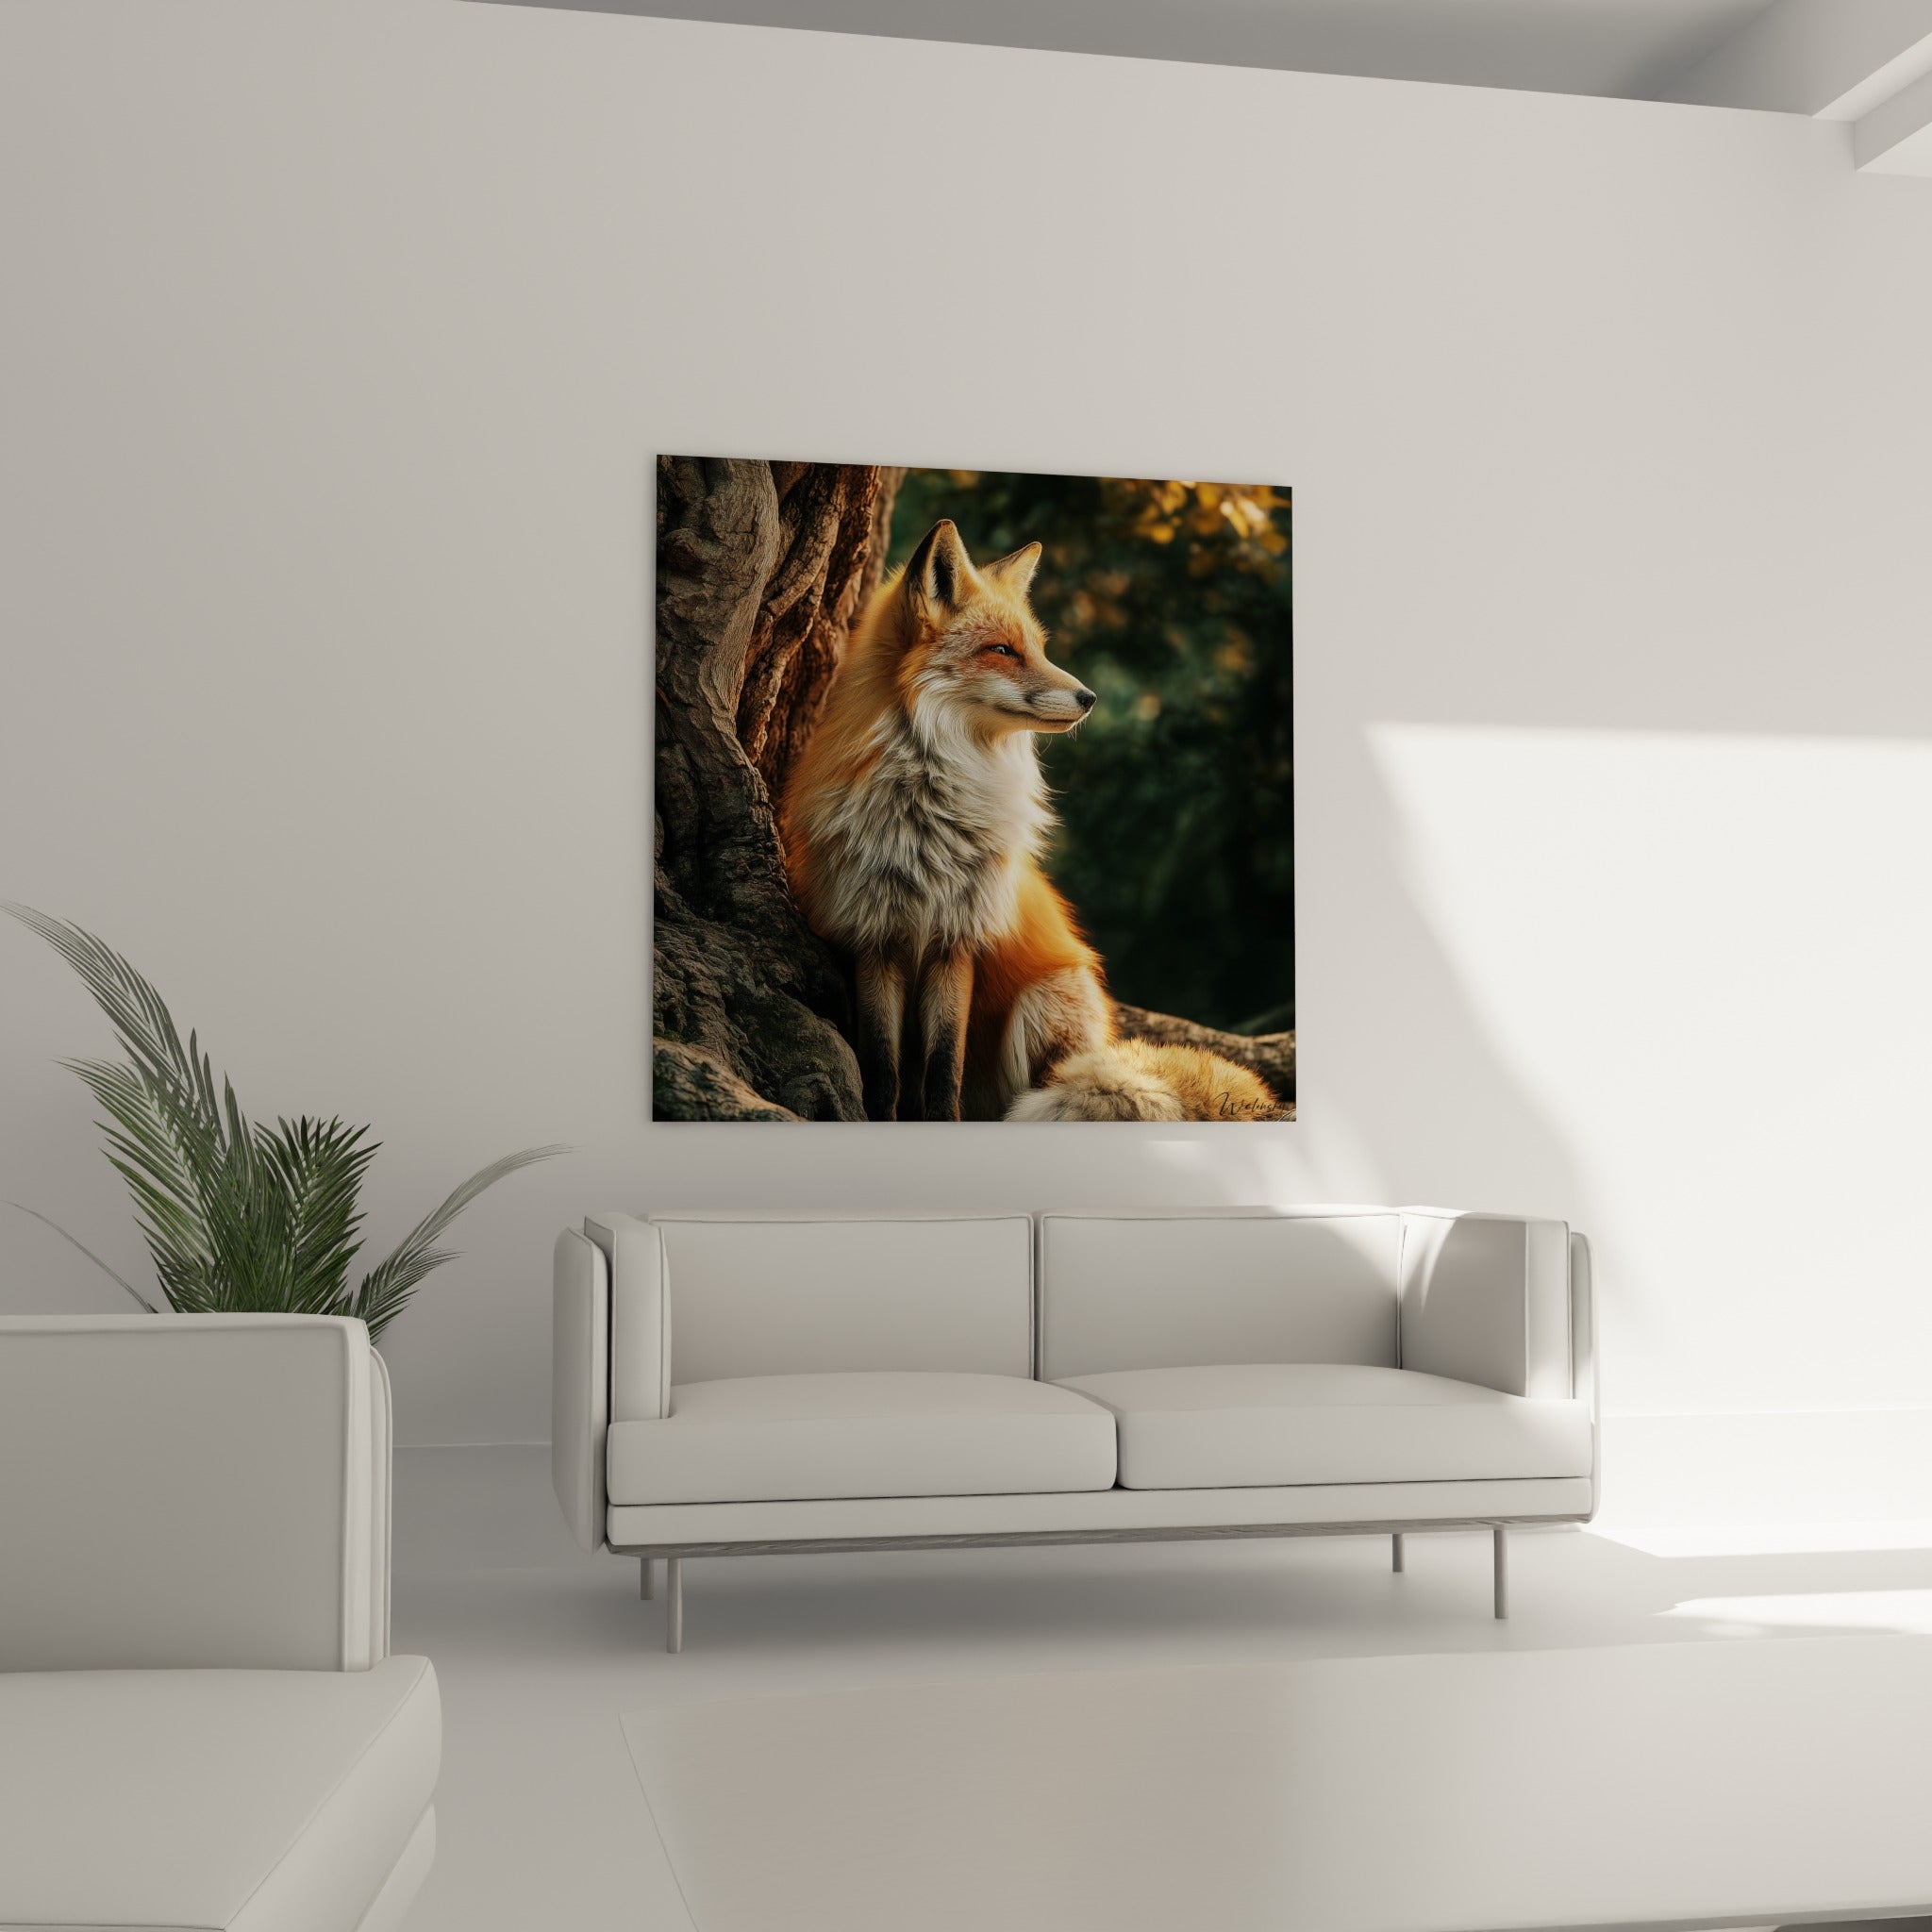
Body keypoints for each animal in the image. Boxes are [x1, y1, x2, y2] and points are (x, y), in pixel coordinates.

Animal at [781, 518, 1277, 1123]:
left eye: (1038, 649)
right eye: (1001, 650)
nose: (1090, 697)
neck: (927, 810)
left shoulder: (958, 936)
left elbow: (942, 1066)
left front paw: (940, 1122)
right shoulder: (874, 934)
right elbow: (883, 1065)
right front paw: (878, 1114)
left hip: (1045, 1001)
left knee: (1055, 1082)